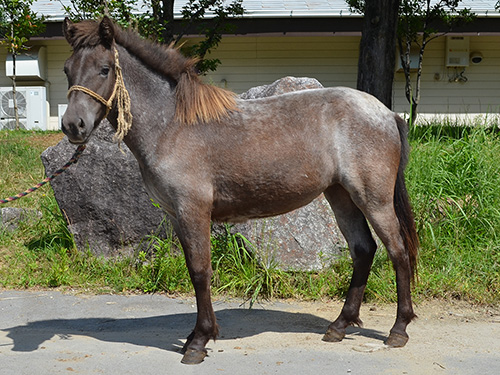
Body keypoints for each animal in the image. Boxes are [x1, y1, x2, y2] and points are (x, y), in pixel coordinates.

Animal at [60, 16, 420, 366]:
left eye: (105, 68)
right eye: (67, 69)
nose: (73, 126)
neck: (172, 126)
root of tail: (386, 113)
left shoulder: (193, 209)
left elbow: (201, 271)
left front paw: (199, 341)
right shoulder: (176, 214)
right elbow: (193, 269)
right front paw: (194, 338)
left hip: (373, 199)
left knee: (398, 251)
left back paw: (398, 330)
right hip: (341, 195)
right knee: (363, 250)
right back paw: (340, 325)